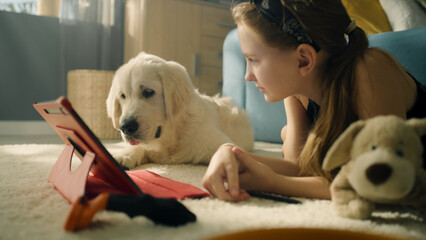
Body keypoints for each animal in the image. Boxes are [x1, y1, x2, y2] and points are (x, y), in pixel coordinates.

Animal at [106, 52, 253, 169]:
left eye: (148, 92)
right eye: (123, 96)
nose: (125, 127)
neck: (173, 135)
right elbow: (137, 146)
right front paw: (124, 156)